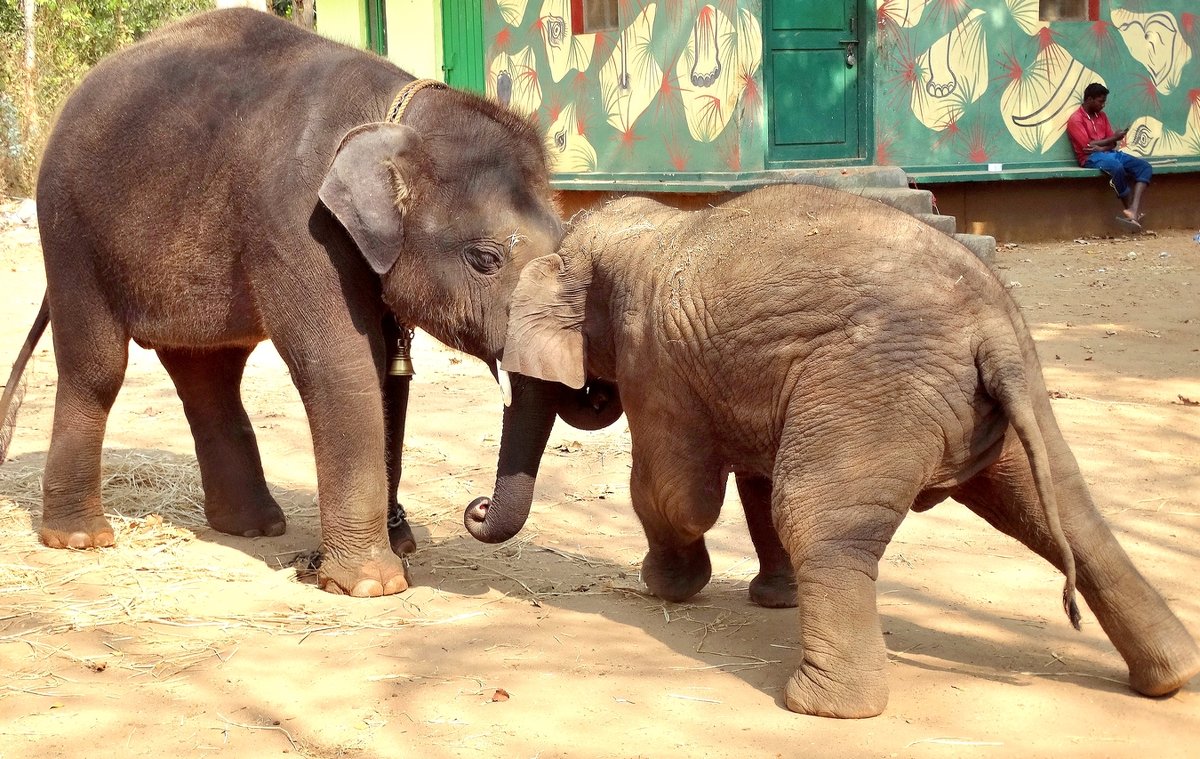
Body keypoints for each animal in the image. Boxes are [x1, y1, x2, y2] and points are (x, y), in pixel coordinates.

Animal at [0, 7, 564, 598]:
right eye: (486, 259)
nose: (475, 509)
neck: (398, 113)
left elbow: (390, 376)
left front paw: (397, 545)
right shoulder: (295, 221)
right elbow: (341, 364)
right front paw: (372, 586)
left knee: (209, 375)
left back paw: (254, 527)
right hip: (70, 230)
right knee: (98, 367)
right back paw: (80, 539)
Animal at [463, 183, 1200, 715]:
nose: (473, 510)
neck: (641, 228)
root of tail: (989, 326)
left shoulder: (656, 361)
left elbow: (678, 493)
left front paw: (664, 585)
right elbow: (751, 480)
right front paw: (773, 598)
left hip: (874, 387)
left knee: (814, 512)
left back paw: (820, 705)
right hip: (996, 399)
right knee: (1066, 507)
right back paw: (1171, 676)